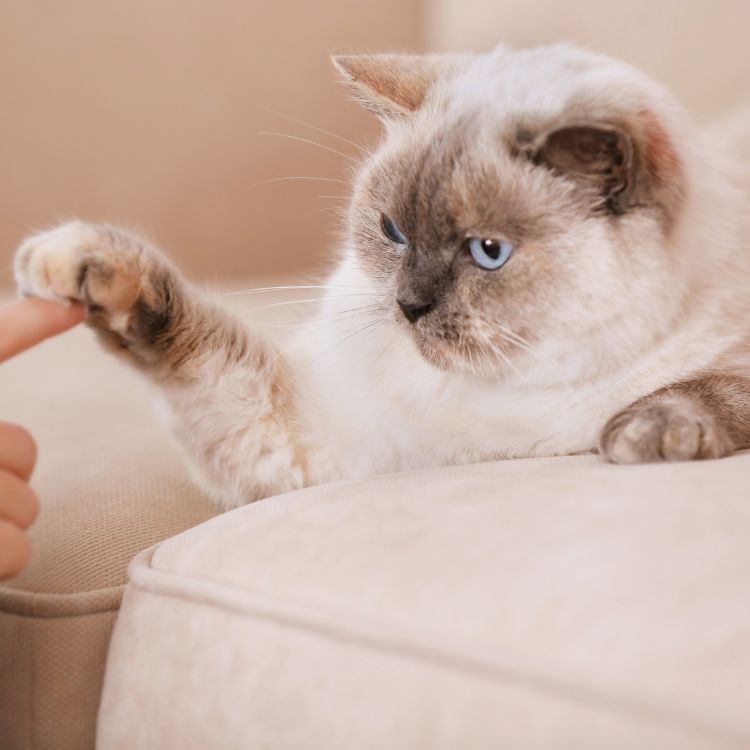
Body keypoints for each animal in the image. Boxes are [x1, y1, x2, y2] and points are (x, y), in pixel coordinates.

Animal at [11, 42, 750, 512]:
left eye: (488, 252)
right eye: (393, 231)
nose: (408, 305)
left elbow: (715, 386)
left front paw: (648, 433)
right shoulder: (317, 436)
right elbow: (190, 339)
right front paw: (75, 266)